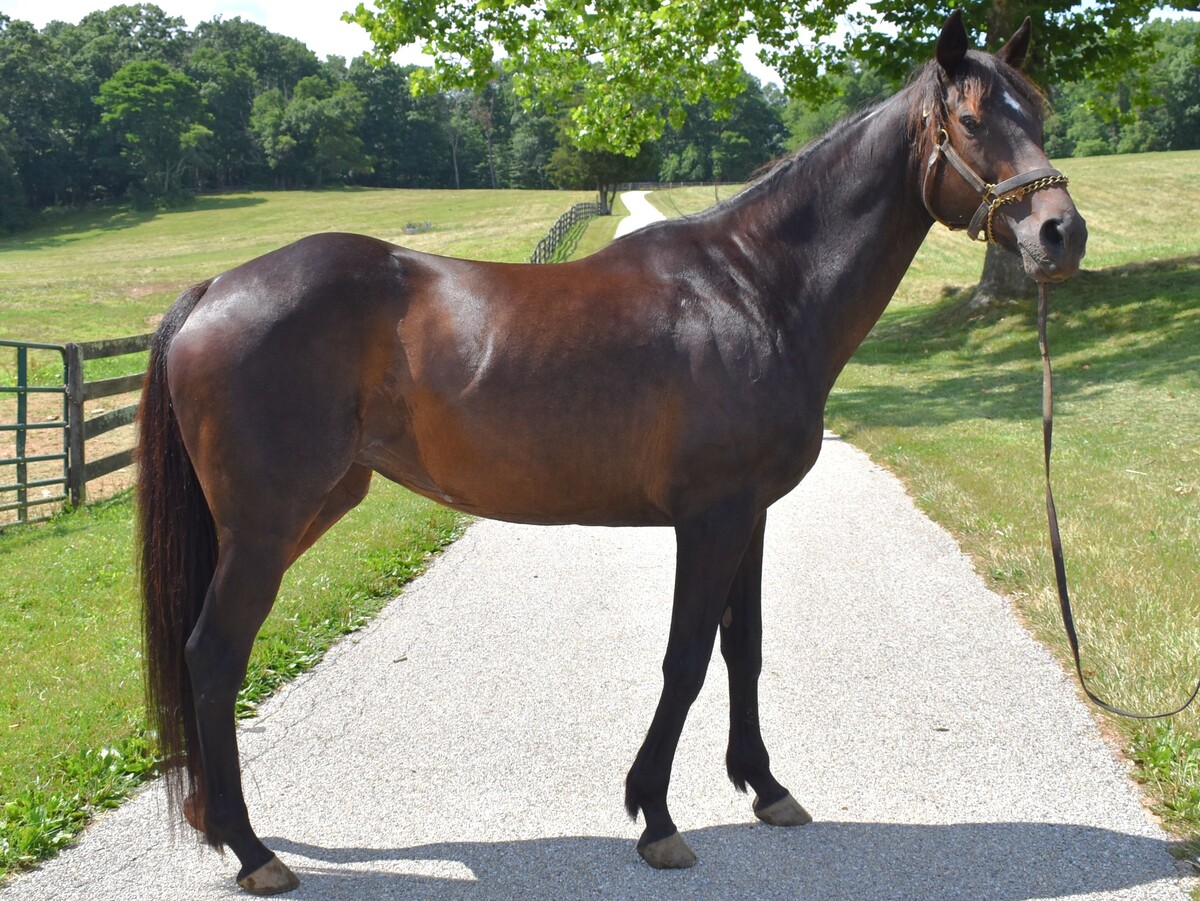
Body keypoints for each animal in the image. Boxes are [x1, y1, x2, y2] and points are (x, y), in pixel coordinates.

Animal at [136, 12, 1086, 894]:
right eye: (970, 121)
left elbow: (745, 648)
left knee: (207, 654)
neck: (756, 289)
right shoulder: (710, 518)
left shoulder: (751, 516)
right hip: (268, 525)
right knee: (213, 654)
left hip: (301, 511)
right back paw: (251, 849)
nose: (1060, 234)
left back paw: (215, 819)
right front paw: (657, 815)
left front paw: (766, 787)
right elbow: (686, 658)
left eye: (1036, 111)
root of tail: (214, 290)